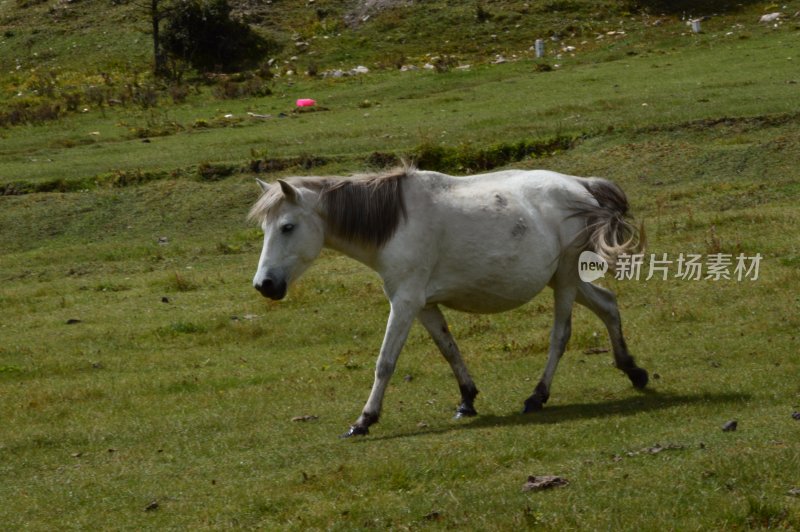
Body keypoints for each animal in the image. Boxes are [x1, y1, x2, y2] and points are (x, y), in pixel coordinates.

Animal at [252, 165, 648, 436]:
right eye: (265, 228)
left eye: (287, 227)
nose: (264, 285)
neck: (395, 224)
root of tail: (582, 185)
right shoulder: (424, 306)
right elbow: (449, 349)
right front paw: (467, 400)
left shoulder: (405, 302)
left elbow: (385, 362)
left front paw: (364, 420)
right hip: (567, 280)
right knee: (608, 305)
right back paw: (633, 370)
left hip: (565, 280)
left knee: (560, 336)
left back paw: (537, 396)